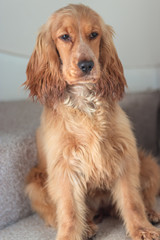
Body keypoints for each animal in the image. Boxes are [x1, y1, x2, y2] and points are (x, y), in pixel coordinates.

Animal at [24, 3, 160, 240]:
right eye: (65, 36)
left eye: (94, 35)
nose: (87, 65)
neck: (84, 100)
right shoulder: (65, 166)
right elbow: (69, 211)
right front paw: (69, 235)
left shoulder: (124, 155)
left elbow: (132, 201)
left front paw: (142, 229)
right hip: (35, 184)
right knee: (55, 212)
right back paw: (87, 225)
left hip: (149, 164)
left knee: (145, 196)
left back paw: (151, 212)